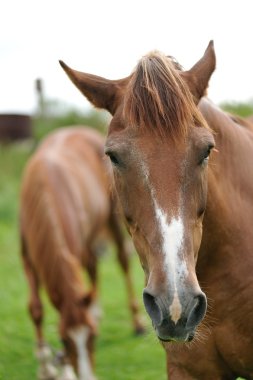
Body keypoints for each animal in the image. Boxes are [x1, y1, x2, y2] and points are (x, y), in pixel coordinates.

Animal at [19, 127, 144, 380]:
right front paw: (46, 367)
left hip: (113, 217)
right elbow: (36, 309)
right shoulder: (27, 259)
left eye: (93, 337)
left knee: (122, 262)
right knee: (93, 268)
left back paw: (137, 323)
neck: (43, 192)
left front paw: (65, 370)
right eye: (63, 340)